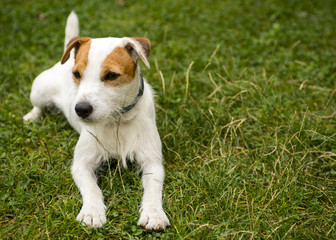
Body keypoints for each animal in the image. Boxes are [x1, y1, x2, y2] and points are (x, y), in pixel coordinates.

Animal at [23, 11, 169, 231]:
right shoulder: (81, 165)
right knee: (38, 106)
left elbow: (153, 190)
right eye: (76, 74)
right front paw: (92, 212)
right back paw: (32, 117)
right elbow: (92, 189)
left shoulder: (152, 161)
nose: (81, 109)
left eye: (111, 75)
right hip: (39, 91)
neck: (117, 120)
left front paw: (153, 213)